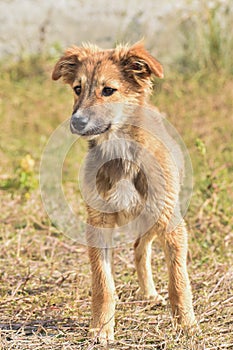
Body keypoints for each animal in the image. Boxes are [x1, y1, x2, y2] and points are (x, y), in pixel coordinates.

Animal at [52, 41, 196, 344]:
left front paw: (187, 325)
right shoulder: (98, 224)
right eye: (77, 88)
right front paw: (101, 328)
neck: (120, 153)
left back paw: (151, 294)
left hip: (155, 217)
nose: (77, 122)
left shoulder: (171, 223)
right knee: (138, 248)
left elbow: (179, 280)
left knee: (141, 248)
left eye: (108, 90)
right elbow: (102, 283)